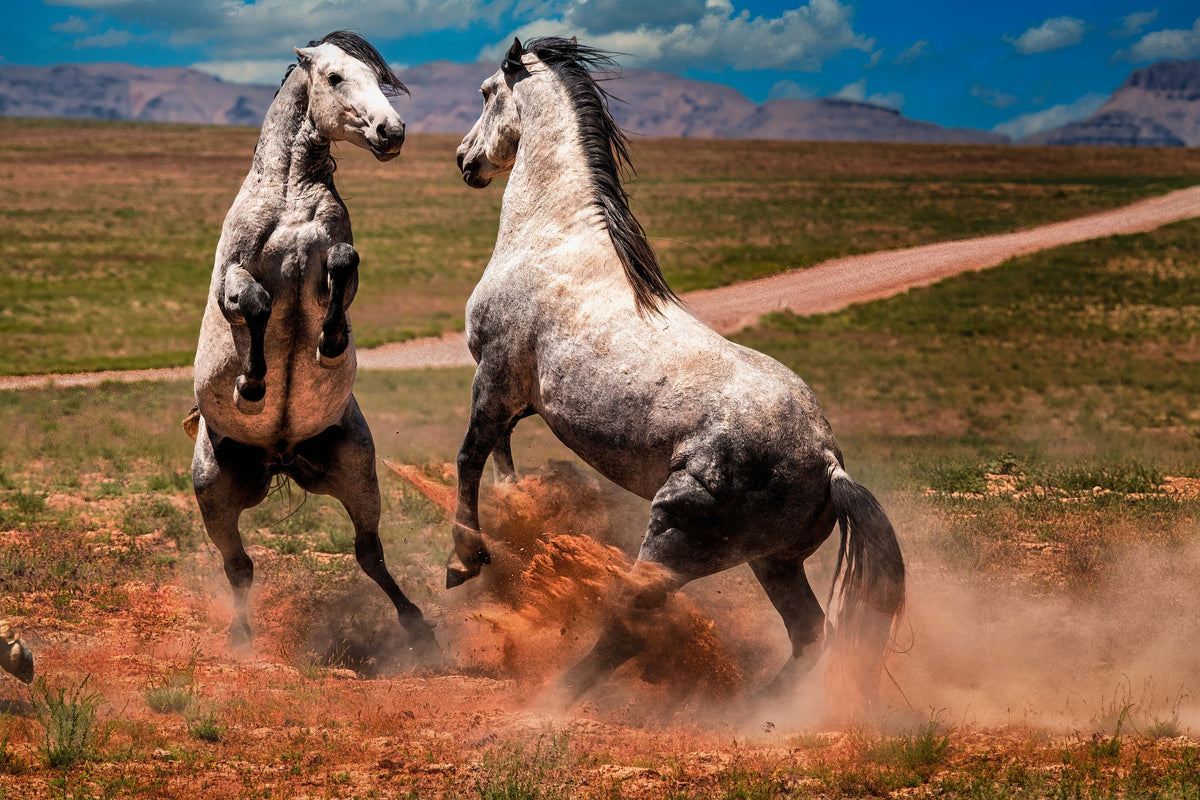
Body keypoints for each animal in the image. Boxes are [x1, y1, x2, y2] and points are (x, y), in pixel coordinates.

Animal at [189, 31, 436, 656]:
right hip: (214, 495)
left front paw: (331, 342)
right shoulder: (232, 277)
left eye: (380, 79)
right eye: (334, 78)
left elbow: (343, 265)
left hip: (356, 472)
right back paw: (241, 639)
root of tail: (280, 456)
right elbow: (251, 302)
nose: (392, 132)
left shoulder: (336, 258)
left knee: (368, 552)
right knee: (239, 567)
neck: (289, 199)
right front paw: (252, 383)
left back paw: (419, 627)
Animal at [451, 37, 905, 702]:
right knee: (809, 633)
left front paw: (464, 561)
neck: (554, 236)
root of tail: (828, 463)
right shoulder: (520, 395)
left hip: (673, 537)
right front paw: (518, 512)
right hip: (772, 561)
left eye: (486, 92)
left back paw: (554, 699)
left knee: (629, 625)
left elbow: (470, 457)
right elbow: (501, 455)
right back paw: (755, 711)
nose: (465, 159)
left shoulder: (495, 375)